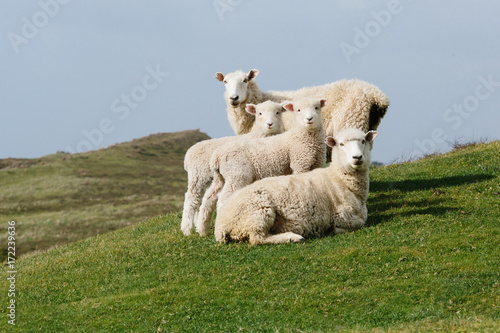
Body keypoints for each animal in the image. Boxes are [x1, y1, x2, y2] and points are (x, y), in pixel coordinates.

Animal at [182, 100, 288, 235]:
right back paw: (187, 229)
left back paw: (200, 227)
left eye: (277, 112)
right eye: (259, 113)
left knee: (203, 198)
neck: (260, 134)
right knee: (191, 198)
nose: (270, 124)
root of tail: (189, 153)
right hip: (198, 176)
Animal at [195, 97, 328, 235]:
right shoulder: (300, 164)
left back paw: (202, 229)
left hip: (221, 178)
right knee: (223, 199)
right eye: (298, 110)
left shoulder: (316, 165)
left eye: (317, 108)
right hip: (237, 175)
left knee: (208, 198)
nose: (309, 119)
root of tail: (216, 157)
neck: (304, 137)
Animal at [213, 127, 376, 244]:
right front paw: (333, 230)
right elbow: (359, 223)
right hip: (258, 212)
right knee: (257, 238)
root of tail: (220, 226)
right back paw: (293, 237)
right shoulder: (342, 215)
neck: (339, 179)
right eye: (341, 144)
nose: (357, 158)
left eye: (363, 141)